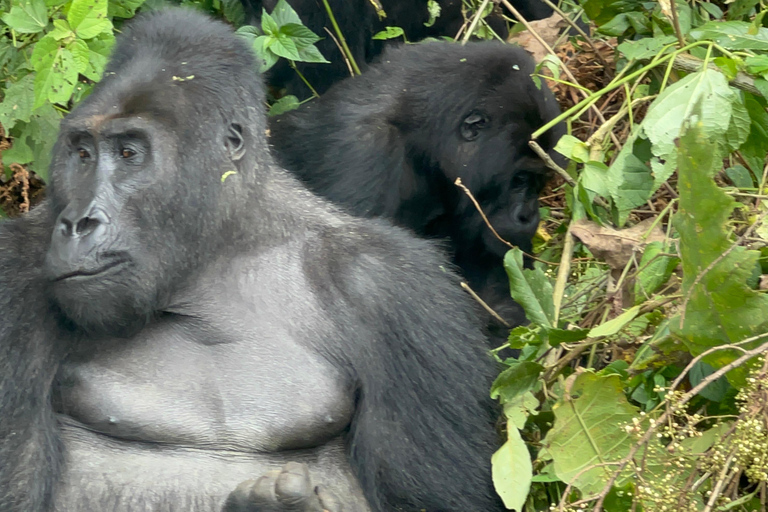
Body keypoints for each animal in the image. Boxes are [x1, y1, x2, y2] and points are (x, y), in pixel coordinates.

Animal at [0, 9, 504, 512]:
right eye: (82, 153)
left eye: (129, 154)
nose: (77, 222)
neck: (218, 255)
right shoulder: (14, 276)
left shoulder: (398, 287)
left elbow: (431, 498)